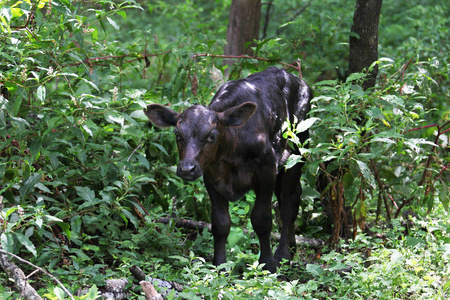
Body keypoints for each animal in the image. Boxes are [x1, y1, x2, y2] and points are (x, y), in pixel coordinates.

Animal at [146, 67, 312, 272]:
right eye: (177, 134)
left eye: (212, 135)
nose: (186, 168)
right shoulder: (210, 176)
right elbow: (220, 222)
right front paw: (219, 265)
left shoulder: (266, 170)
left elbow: (262, 219)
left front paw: (267, 263)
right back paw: (292, 248)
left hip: (297, 153)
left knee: (290, 201)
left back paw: (283, 255)